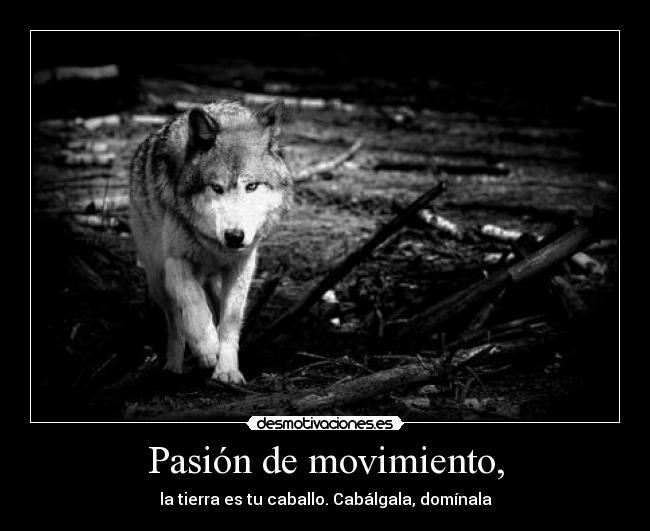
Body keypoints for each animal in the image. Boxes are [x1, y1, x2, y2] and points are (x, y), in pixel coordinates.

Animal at [129, 100, 293, 383]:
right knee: (175, 321)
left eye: (251, 186)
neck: (215, 247)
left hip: (213, 280)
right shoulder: (176, 262)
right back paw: (174, 366)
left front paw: (227, 370)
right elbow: (193, 305)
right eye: (216, 188)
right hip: (157, 278)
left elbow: (229, 322)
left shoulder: (241, 266)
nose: (234, 236)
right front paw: (206, 348)